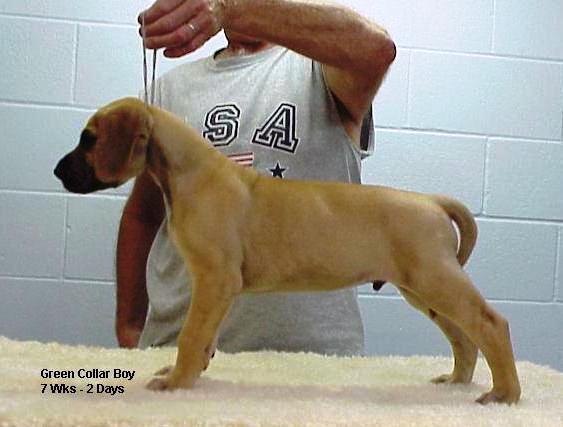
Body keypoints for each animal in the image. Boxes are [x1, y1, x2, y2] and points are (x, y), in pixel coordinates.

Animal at [54, 97, 520, 404]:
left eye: (89, 139)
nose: (57, 171)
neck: (192, 173)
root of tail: (432, 202)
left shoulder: (215, 280)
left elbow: (191, 336)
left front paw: (176, 384)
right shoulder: (216, 289)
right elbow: (204, 338)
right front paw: (188, 374)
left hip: (435, 279)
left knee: (490, 324)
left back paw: (504, 394)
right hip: (424, 289)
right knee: (464, 337)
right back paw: (458, 382)